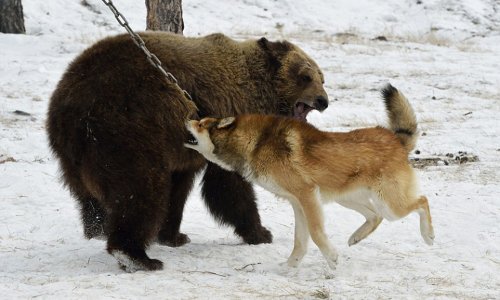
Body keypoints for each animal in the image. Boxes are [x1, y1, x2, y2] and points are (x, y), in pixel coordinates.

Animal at [46, 32, 328, 272]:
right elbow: (228, 187)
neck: (258, 92)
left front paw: (173, 235)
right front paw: (260, 232)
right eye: (305, 76)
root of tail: (72, 105)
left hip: (74, 151)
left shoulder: (183, 149)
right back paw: (136, 256)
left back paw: (97, 228)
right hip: (126, 128)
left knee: (88, 196)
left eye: (321, 77)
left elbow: (179, 188)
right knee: (140, 189)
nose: (323, 100)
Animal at [184, 83, 434, 268]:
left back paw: (428, 235)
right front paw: (289, 267)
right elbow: (300, 241)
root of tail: (396, 139)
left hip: (390, 204)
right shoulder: (298, 203)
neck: (257, 143)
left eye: (201, 124)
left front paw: (331, 259)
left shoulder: (307, 195)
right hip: (348, 198)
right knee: (375, 216)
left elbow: (314, 233)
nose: (187, 118)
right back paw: (355, 237)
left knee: (422, 201)